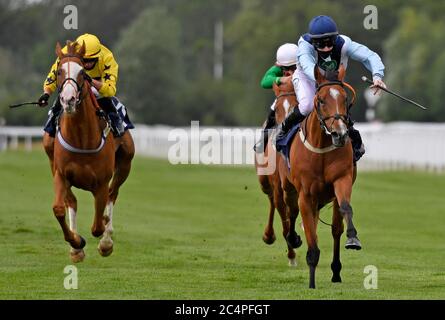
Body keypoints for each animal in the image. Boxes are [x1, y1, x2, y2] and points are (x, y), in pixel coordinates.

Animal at [45, 41, 135, 262]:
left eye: (82, 73)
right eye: (59, 71)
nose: (68, 99)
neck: (81, 138)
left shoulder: (101, 183)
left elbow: (97, 226)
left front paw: (105, 242)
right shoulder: (61, 174)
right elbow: (59, 208)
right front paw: (76, 243)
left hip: (125, 164)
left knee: (113, 194)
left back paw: (106, 238)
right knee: (72, 202)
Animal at [255, 74, 304, 264]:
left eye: (296, 103)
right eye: (276, 110)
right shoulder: (280, 185)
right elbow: (284, 219)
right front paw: (291, 253)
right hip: (264, 180)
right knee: (272, 200)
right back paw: (269, 235)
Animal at [280, 65, 360, 288]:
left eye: (345, 98)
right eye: (322, 100)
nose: (340, 134)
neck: (322, 147)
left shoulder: (342, 180)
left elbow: (345, 209)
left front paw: (353, 238)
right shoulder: (306, 194)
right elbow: (311, 239)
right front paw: (311, 283)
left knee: (335, 229)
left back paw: (336, 272)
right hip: (289, 189)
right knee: (292, 212)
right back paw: (293, 238)